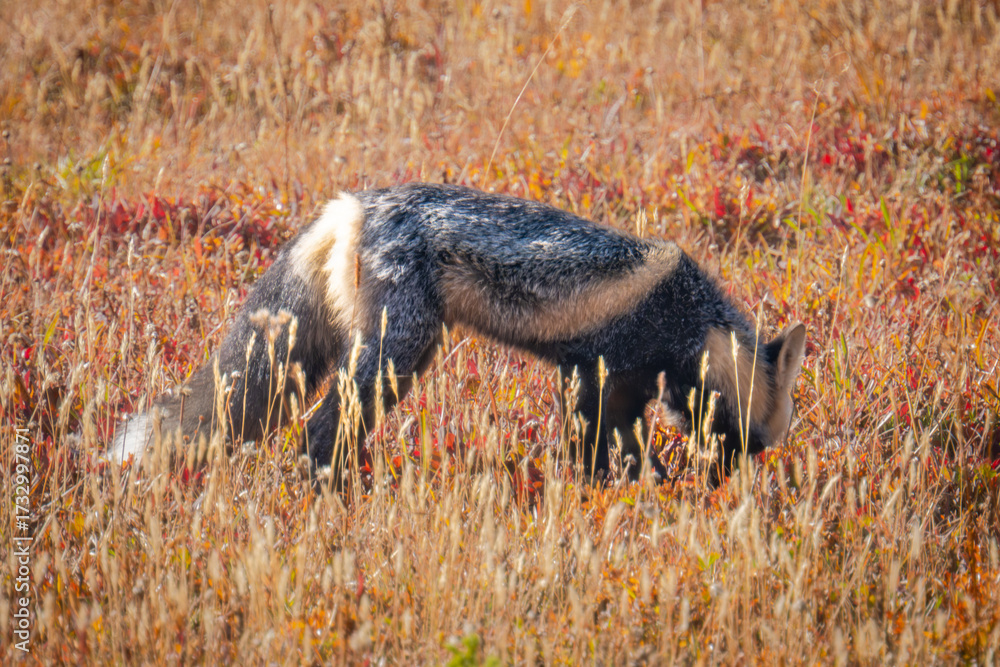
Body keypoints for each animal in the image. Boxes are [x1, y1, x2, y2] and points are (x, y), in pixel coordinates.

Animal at [110, 182, 806, 483]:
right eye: (748, 443)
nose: (721, 486)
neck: (688, 312)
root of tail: (352, 204)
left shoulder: (607, 380)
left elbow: (618, 446)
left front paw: (635, 487)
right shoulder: (600, 374)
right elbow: (598, 447)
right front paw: (613, 490)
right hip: (396, 355)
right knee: (320, 429)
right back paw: (337, 488)